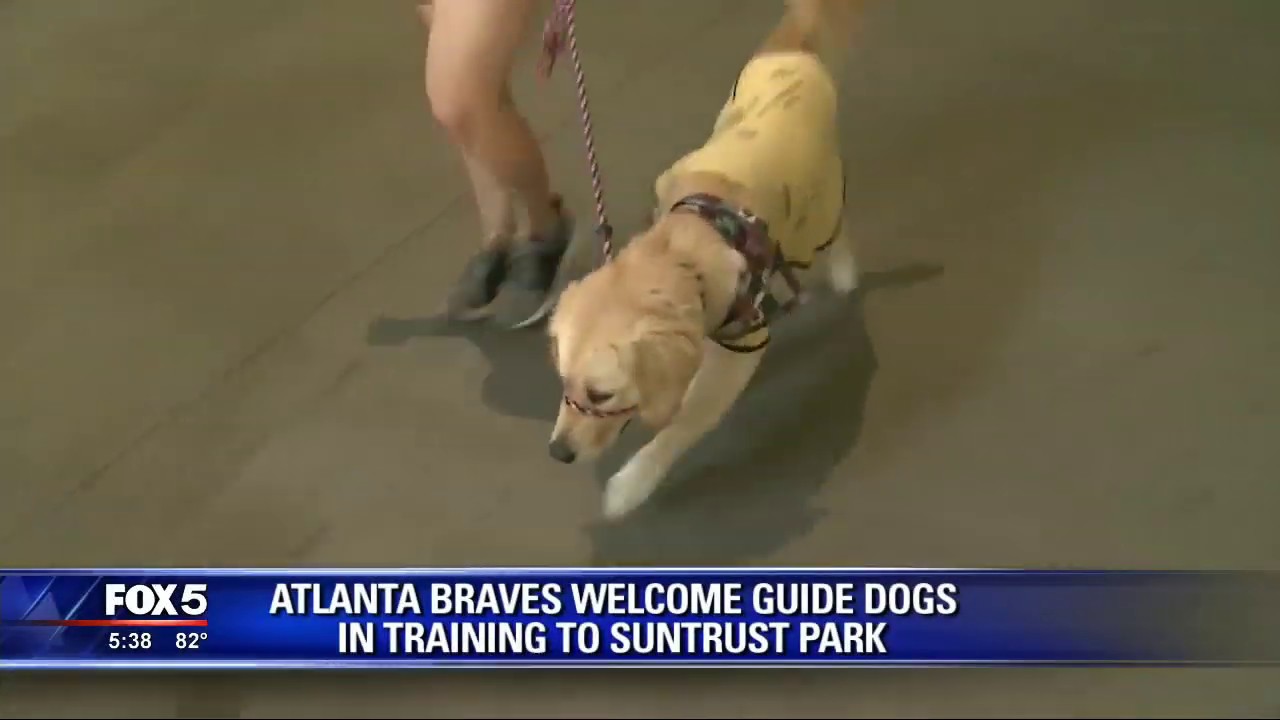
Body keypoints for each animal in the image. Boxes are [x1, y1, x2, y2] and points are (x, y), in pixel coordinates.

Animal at [545, 0, 865, 515]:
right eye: (564, 382)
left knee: (835, 233)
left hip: (823, 195)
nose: (559, 452)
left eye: (601, 393)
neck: (681, 252)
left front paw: (633, 483)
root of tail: (791, 52)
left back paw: (842, 270)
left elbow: (684, 424)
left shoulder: (740, 352)